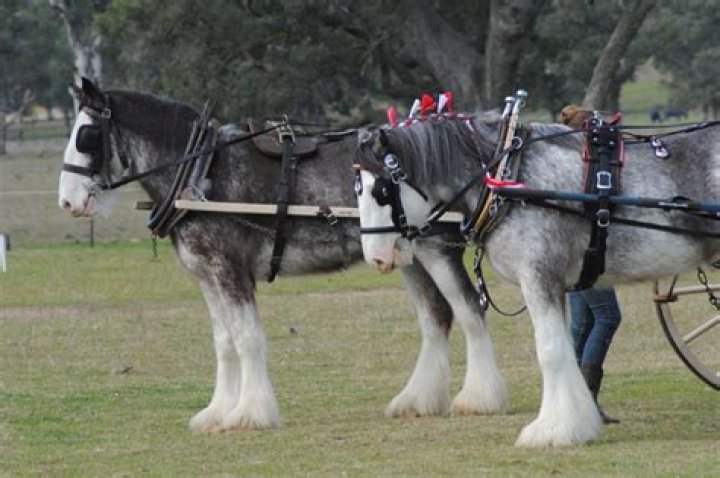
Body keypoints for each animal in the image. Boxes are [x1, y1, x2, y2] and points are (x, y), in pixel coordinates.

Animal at [57, 78, 509, 433]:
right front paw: (217, 412)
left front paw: (249, 413)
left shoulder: (230, 272)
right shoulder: (208, 275)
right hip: (404, 255)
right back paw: (418, 399)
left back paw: (479, 398)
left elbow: (247, 338)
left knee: (468, 311)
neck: (200, 172)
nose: (66, 202)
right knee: (435, 317)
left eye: (87, 136)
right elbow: (224, 342)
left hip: (436, 249)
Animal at [354, 111, 720, 446]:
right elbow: (565, 349)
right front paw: (574, 423)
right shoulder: (558, 284)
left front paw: (551, 430)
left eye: (381, 191)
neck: (507, 175)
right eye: (356, 190)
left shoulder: (538, 277)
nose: (376, 257)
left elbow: (550, 351)